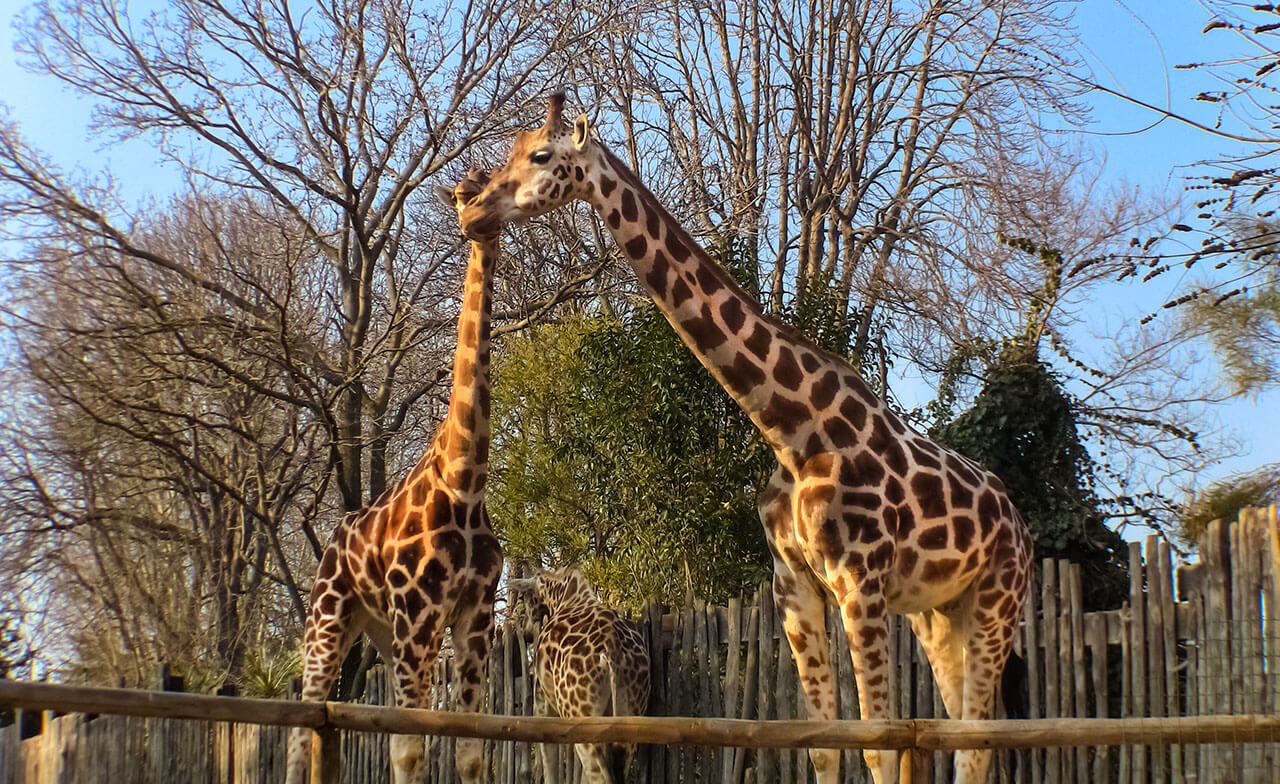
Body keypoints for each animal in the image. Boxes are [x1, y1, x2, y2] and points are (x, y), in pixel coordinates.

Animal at [289, 171, 504, 784]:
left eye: (489, 183)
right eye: (462, 194)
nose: (481, 221)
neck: (465, 480)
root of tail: (335, 536)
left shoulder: (474, 618)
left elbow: (469, 752)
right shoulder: (420, 614)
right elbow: (410, 750)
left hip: (382, 632)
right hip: (329, 619)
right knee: (301, 726)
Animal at [506, 566, 650, 784]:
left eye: (523, 597)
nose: (528, 631)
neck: (562, 596)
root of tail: (613, 649)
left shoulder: (543, 705)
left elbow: (550, 767)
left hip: (581, 716)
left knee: (599, 775)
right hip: (629, 716)